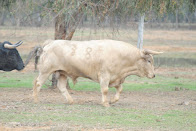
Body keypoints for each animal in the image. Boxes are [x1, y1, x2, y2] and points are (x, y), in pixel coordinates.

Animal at [33, 39, 162, 107]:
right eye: (149, 61)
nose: (154, 75)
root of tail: (50, 43)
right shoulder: (105, 76)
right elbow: (105, 90)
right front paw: (105, 103)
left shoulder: (117, 78)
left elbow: (120, 90)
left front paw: (113, 100)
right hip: (46, 70)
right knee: (38, 83)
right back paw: (35, 99)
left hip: (62, 73)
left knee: (61, 87)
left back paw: (70, 101)